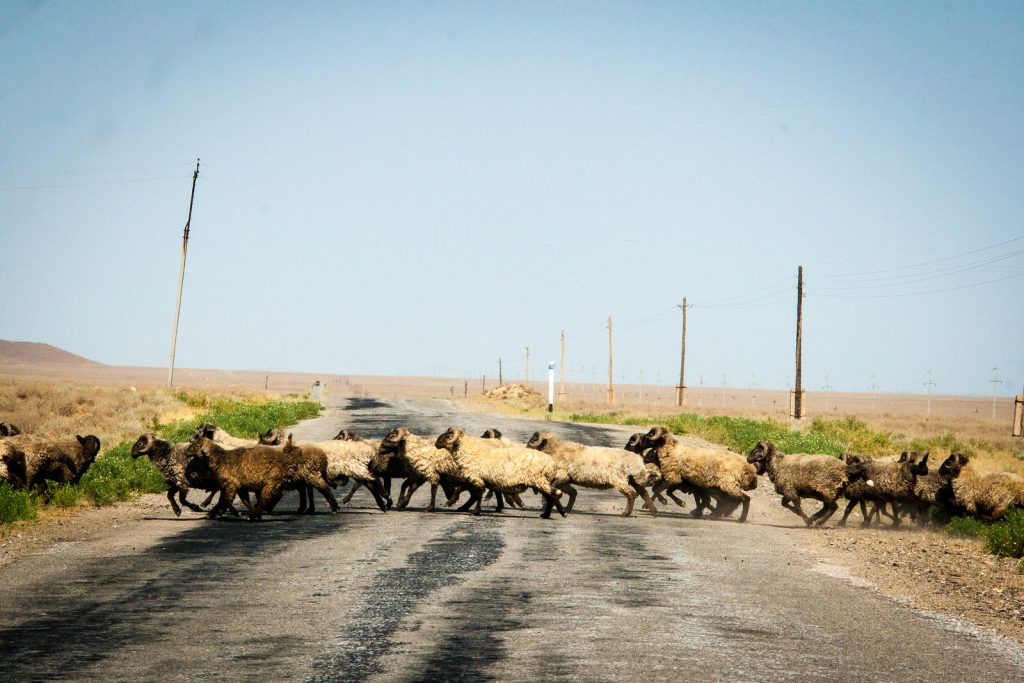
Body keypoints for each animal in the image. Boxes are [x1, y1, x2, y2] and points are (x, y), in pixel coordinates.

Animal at [198, 436, 339, 520]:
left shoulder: (234, 483)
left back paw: (333, 507)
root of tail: (322, 456)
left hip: (308, 474)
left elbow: (227, 498)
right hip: (304, 476)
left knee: (323, 488)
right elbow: (237, 499)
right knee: (310, 490)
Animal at [432, 428, 569, 518]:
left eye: (448, 435)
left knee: (554, 494)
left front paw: (474, 511)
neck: (469, 451)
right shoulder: (477, 479)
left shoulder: (476, 478)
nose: (436, 443)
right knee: (552, 495)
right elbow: (473, 493)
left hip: (539, 480)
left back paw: (558, 513)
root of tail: (552, 463)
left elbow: (477, 494)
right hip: (540, 482)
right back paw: (549, 514)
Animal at [524, 432, 659, 518]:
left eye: (532, 441)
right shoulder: (565, 479)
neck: (555, 449)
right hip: (632, 480)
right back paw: (654, 512)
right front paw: (563, 508)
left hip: (620, 479)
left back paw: (626, 514)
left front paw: (546, 505)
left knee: (631, 494)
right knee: (643, 493)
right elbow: (570, 491)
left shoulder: (562, 475)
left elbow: (552, 488)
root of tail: (638, 460)